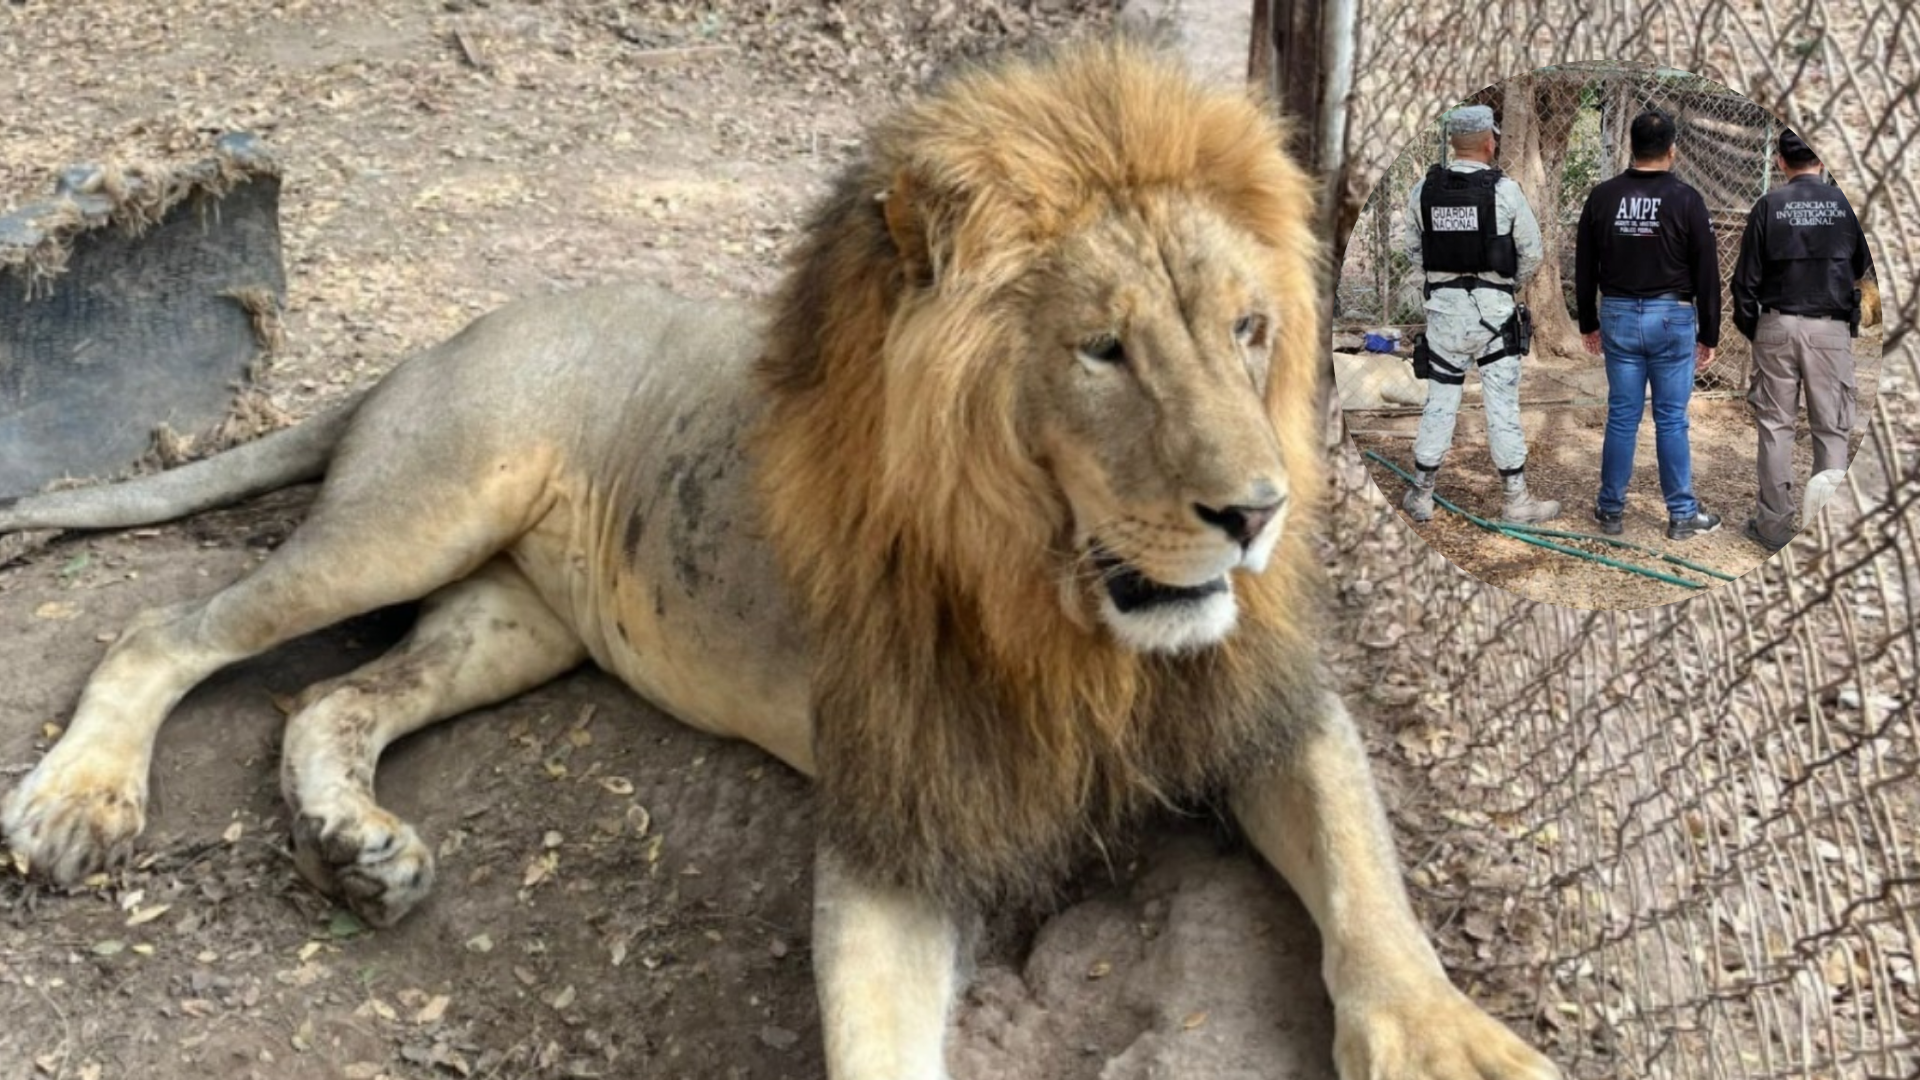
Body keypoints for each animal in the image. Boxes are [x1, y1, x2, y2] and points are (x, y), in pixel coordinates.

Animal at [1, 42, 1560, 1080]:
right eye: (1103, 351)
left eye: (1248, 332)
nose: (1258, 511)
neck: (1066, 617)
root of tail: (436, 346)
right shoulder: (899, 809)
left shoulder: (1270, 703)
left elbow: (1367, 880)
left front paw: (1448, 1040)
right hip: (420, 509)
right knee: (167, 633)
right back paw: (78, 805)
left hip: (515, 620)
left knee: (334, 699)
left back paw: (356, 851)